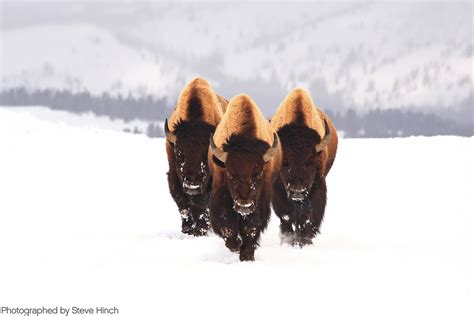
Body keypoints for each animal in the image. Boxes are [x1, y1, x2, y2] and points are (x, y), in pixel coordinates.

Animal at [165, 76, 228, 235]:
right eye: (179, 154)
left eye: (206, 156)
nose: (192, 186)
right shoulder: (174, 176)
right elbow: (183, 205)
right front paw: (187, 229)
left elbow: (203, 207)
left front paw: (200, 230)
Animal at [208, 94, 282, 262]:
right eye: (230, 174)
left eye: (258, 173)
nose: (244, 205)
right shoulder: (220, 196)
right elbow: (227, 225)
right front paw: (236, 246)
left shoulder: (260, 201)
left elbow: (251, 227)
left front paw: (247, 255)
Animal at [270, 88, 336, 247]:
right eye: (285, 163)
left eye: (310, 162)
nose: (297, 192)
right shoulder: (277, 190)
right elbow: (286, 217)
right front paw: (289, 240)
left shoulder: (317, 186)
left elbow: (307, 217)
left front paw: (304, 241)